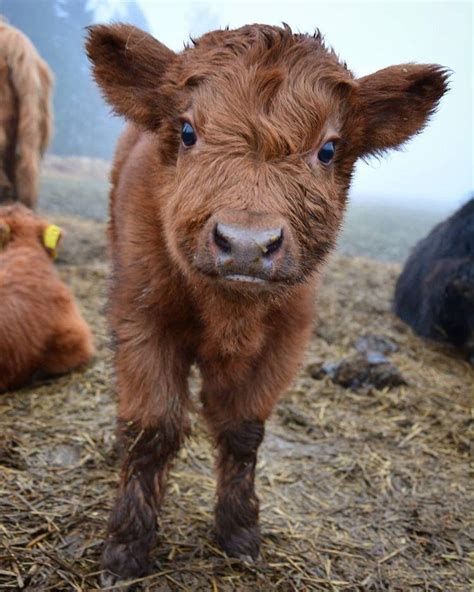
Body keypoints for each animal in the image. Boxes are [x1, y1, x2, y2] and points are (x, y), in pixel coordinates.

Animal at [86, 22, 448, 580]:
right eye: (188, 132)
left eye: (328, 149)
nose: (246, 244)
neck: (229, 314)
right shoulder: (142, 321)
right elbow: (153, 430)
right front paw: (127, 546)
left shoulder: (284, 339)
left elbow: (242, 432)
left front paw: (239, 531)